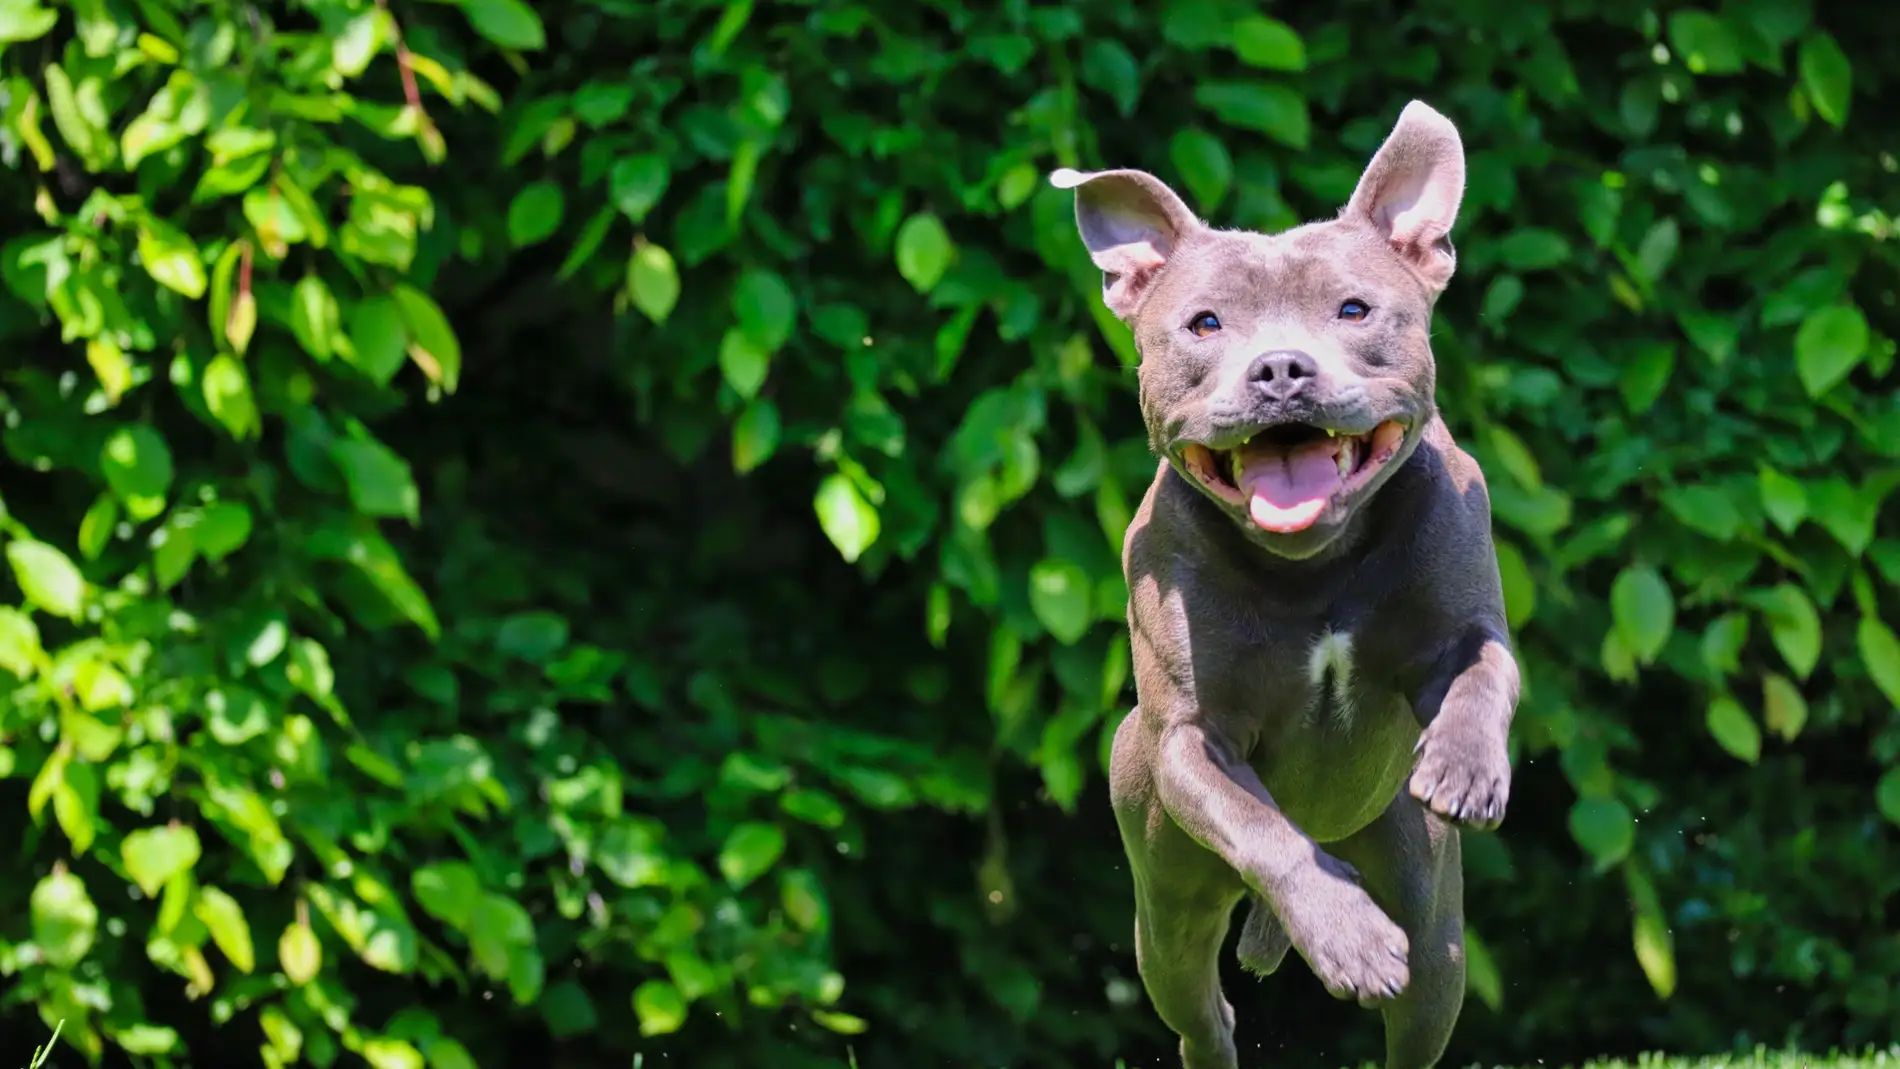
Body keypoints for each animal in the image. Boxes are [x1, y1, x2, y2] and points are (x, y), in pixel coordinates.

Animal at [1048, 102, 1520, 1069]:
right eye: (1203, 325)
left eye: (1354, 308)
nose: (1280, 369)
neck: (1314, 563)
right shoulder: (1192, 741)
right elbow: (1265, 828)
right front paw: (1348, 937)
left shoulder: (1467, 618)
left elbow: (1484, 670)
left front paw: (1464, 766)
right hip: (1168, 906)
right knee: (1204, 1012)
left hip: (1434, 928)